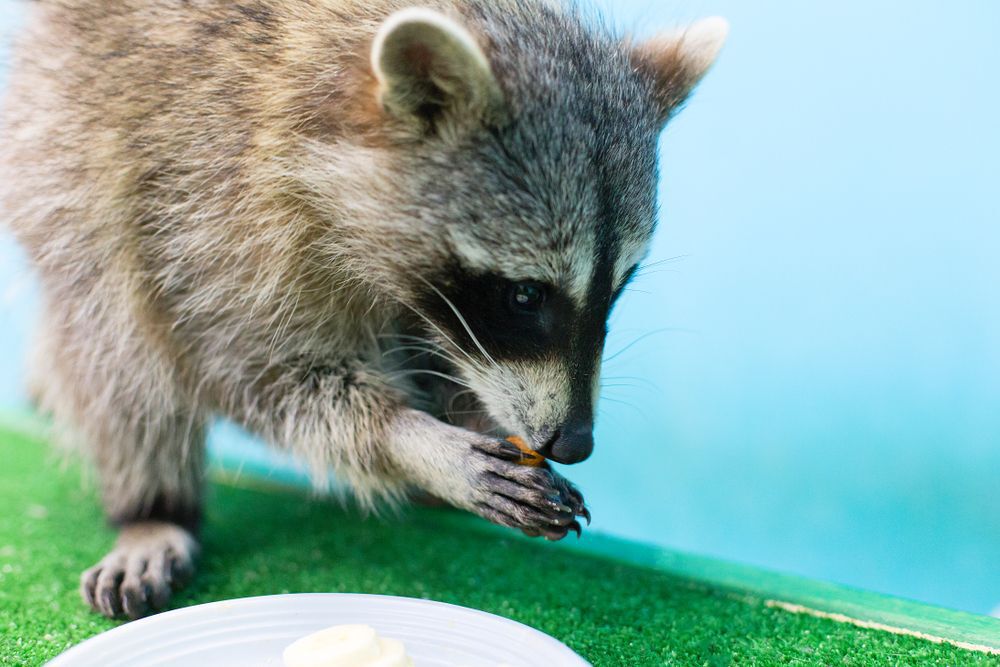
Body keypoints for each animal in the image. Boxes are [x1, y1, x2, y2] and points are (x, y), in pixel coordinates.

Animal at [0, 0, 726, 619]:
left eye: (621, 285)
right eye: (524, 295)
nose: (576, 442)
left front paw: (470, 418)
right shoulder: (205, 205)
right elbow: (252, 371)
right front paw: (415, 440)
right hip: (58, 151)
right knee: (119, 347)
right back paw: (154, 508)